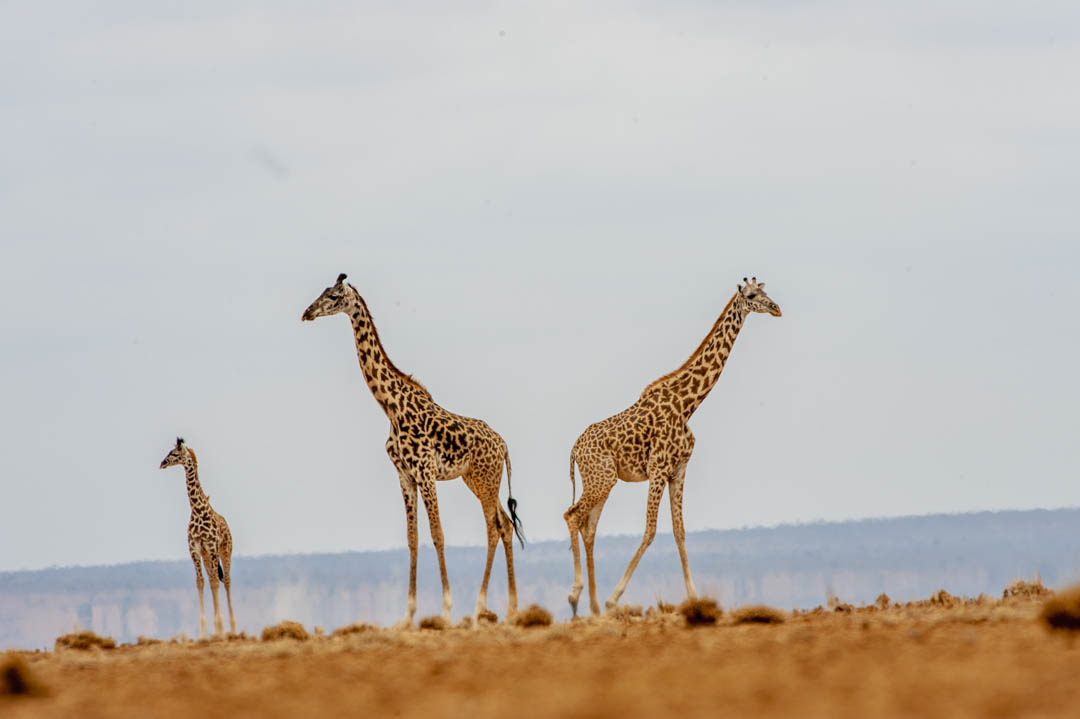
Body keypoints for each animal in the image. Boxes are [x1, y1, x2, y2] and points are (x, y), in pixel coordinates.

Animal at [159, 437, 236, 637]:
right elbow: (201, 582)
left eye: (174, 454)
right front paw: (204, 631)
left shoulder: (211, 547)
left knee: (226, 581)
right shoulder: (195, 549)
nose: (162, 463)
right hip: (207, 556)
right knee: (212, 579)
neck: (197, 510)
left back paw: (232, 628)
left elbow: (216, 583)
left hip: (225, 551)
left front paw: (219, 627)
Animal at [302, 273, 524, 626]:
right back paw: (508, 608)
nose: (307, 313)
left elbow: (437, 534)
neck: (391, 408)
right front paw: (407, 615)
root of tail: (503, 445)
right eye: (322, 292)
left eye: (334, 296)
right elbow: (412, 539)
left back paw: (484, 609)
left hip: (485, 479)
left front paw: (446, 610)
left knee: (496, 527)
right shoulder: (405, 475)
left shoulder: (426, 471)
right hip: (476, 480)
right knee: (503, 524)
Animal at [563, 277, 781, 616]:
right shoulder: (658, 468)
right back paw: (578, 598)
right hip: (601, 478)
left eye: (766, 291)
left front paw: (694, 597)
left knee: (589, 527)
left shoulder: (678, 469)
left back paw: (594, 606)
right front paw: (616, 598)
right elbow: (651, 529)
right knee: (572, 516)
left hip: (603, 481)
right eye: (752, 295)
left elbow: (679, 531)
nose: (776, 308)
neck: (687, 405)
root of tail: (574, 449)